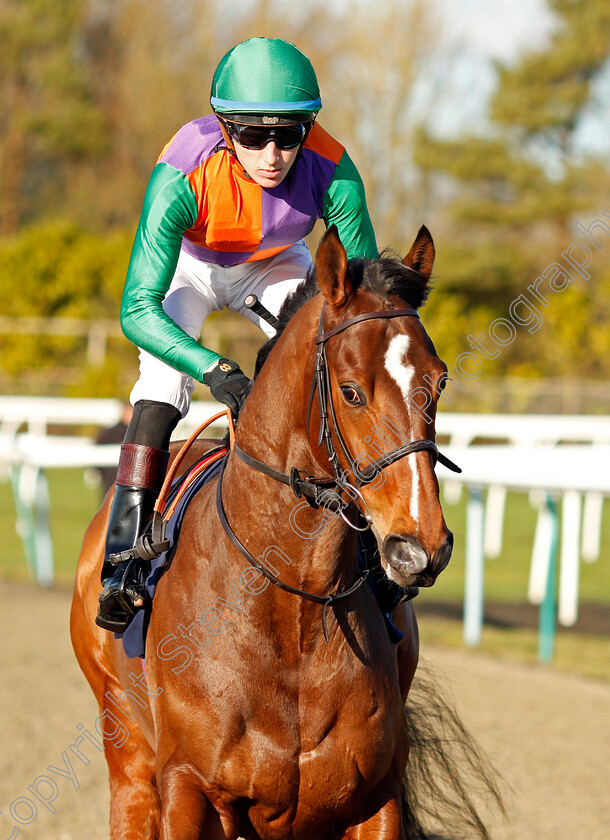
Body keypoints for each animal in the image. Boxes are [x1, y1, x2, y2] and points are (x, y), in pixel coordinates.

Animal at [70, 226, 490, 840]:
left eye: (438, 381)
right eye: (350, 390)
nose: (421, 548)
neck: (294, 605)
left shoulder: (374, 799)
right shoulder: (187, 789)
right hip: (125, 753)